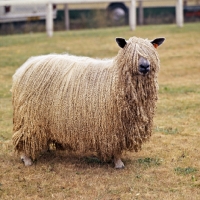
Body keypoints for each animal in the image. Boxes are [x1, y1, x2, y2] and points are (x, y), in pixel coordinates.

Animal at [11, 36, 164, 169]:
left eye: (151, 52)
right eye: (131, 53)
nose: (145, 66)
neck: (116, 79)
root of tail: (24, 68)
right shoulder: (112, 126)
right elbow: (115, 146)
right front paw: (118, 162)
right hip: (29, 116)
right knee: (23, 135)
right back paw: (26, 159)